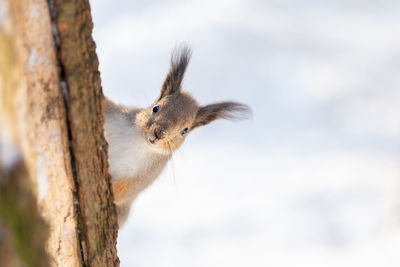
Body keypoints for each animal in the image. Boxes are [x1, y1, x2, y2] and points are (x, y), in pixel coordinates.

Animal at [104, 46, 252, 228]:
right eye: (155, 108)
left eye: (184, 131)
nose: (158, 133)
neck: (139, 142)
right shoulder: (116, 115)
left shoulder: (147, 173)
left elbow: (128, 189)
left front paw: (112, 190)